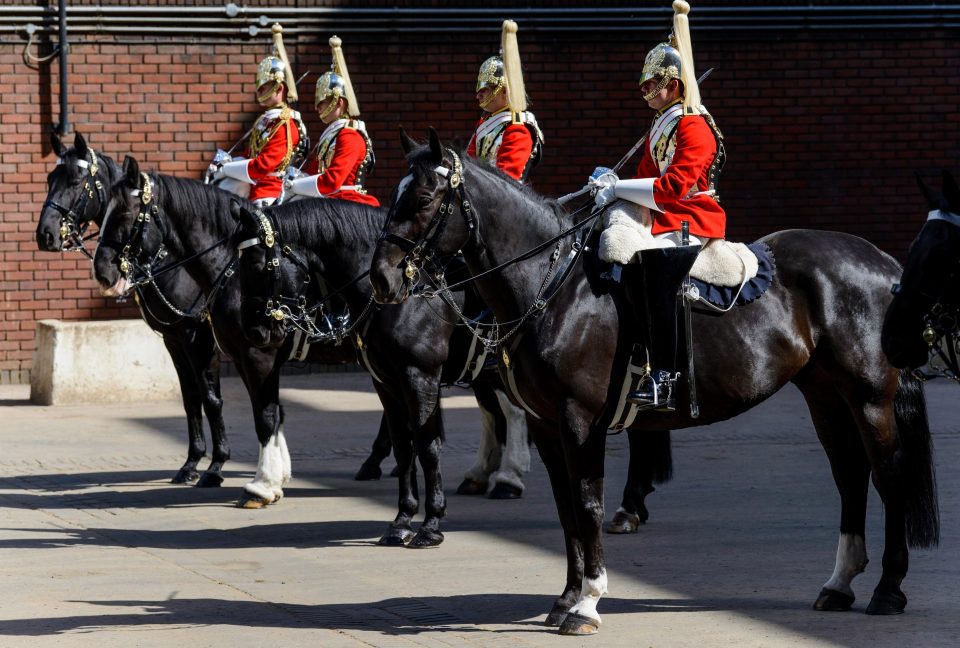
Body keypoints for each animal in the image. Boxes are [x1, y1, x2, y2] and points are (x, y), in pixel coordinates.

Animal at [34, 132, 230, 486]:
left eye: (75, 180)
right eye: (49, 179)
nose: (46, 234)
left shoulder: (198, 337)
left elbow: (211, 398)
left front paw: (217, 463)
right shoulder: (174, 338)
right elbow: (191, 398)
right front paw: (192, 462)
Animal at [368, 130, 936, 632]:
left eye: (423, 197)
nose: (382, 278)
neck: (554, 288)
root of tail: (881, 260)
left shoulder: (579, 421)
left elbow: (588, 503)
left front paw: (588, 604)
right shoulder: (547, 426)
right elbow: (566, 508)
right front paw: (566, 597)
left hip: (869, 396)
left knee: (888, 475)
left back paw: (888, 590)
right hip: (824, 394)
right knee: (850, 476)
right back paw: (838, 585)